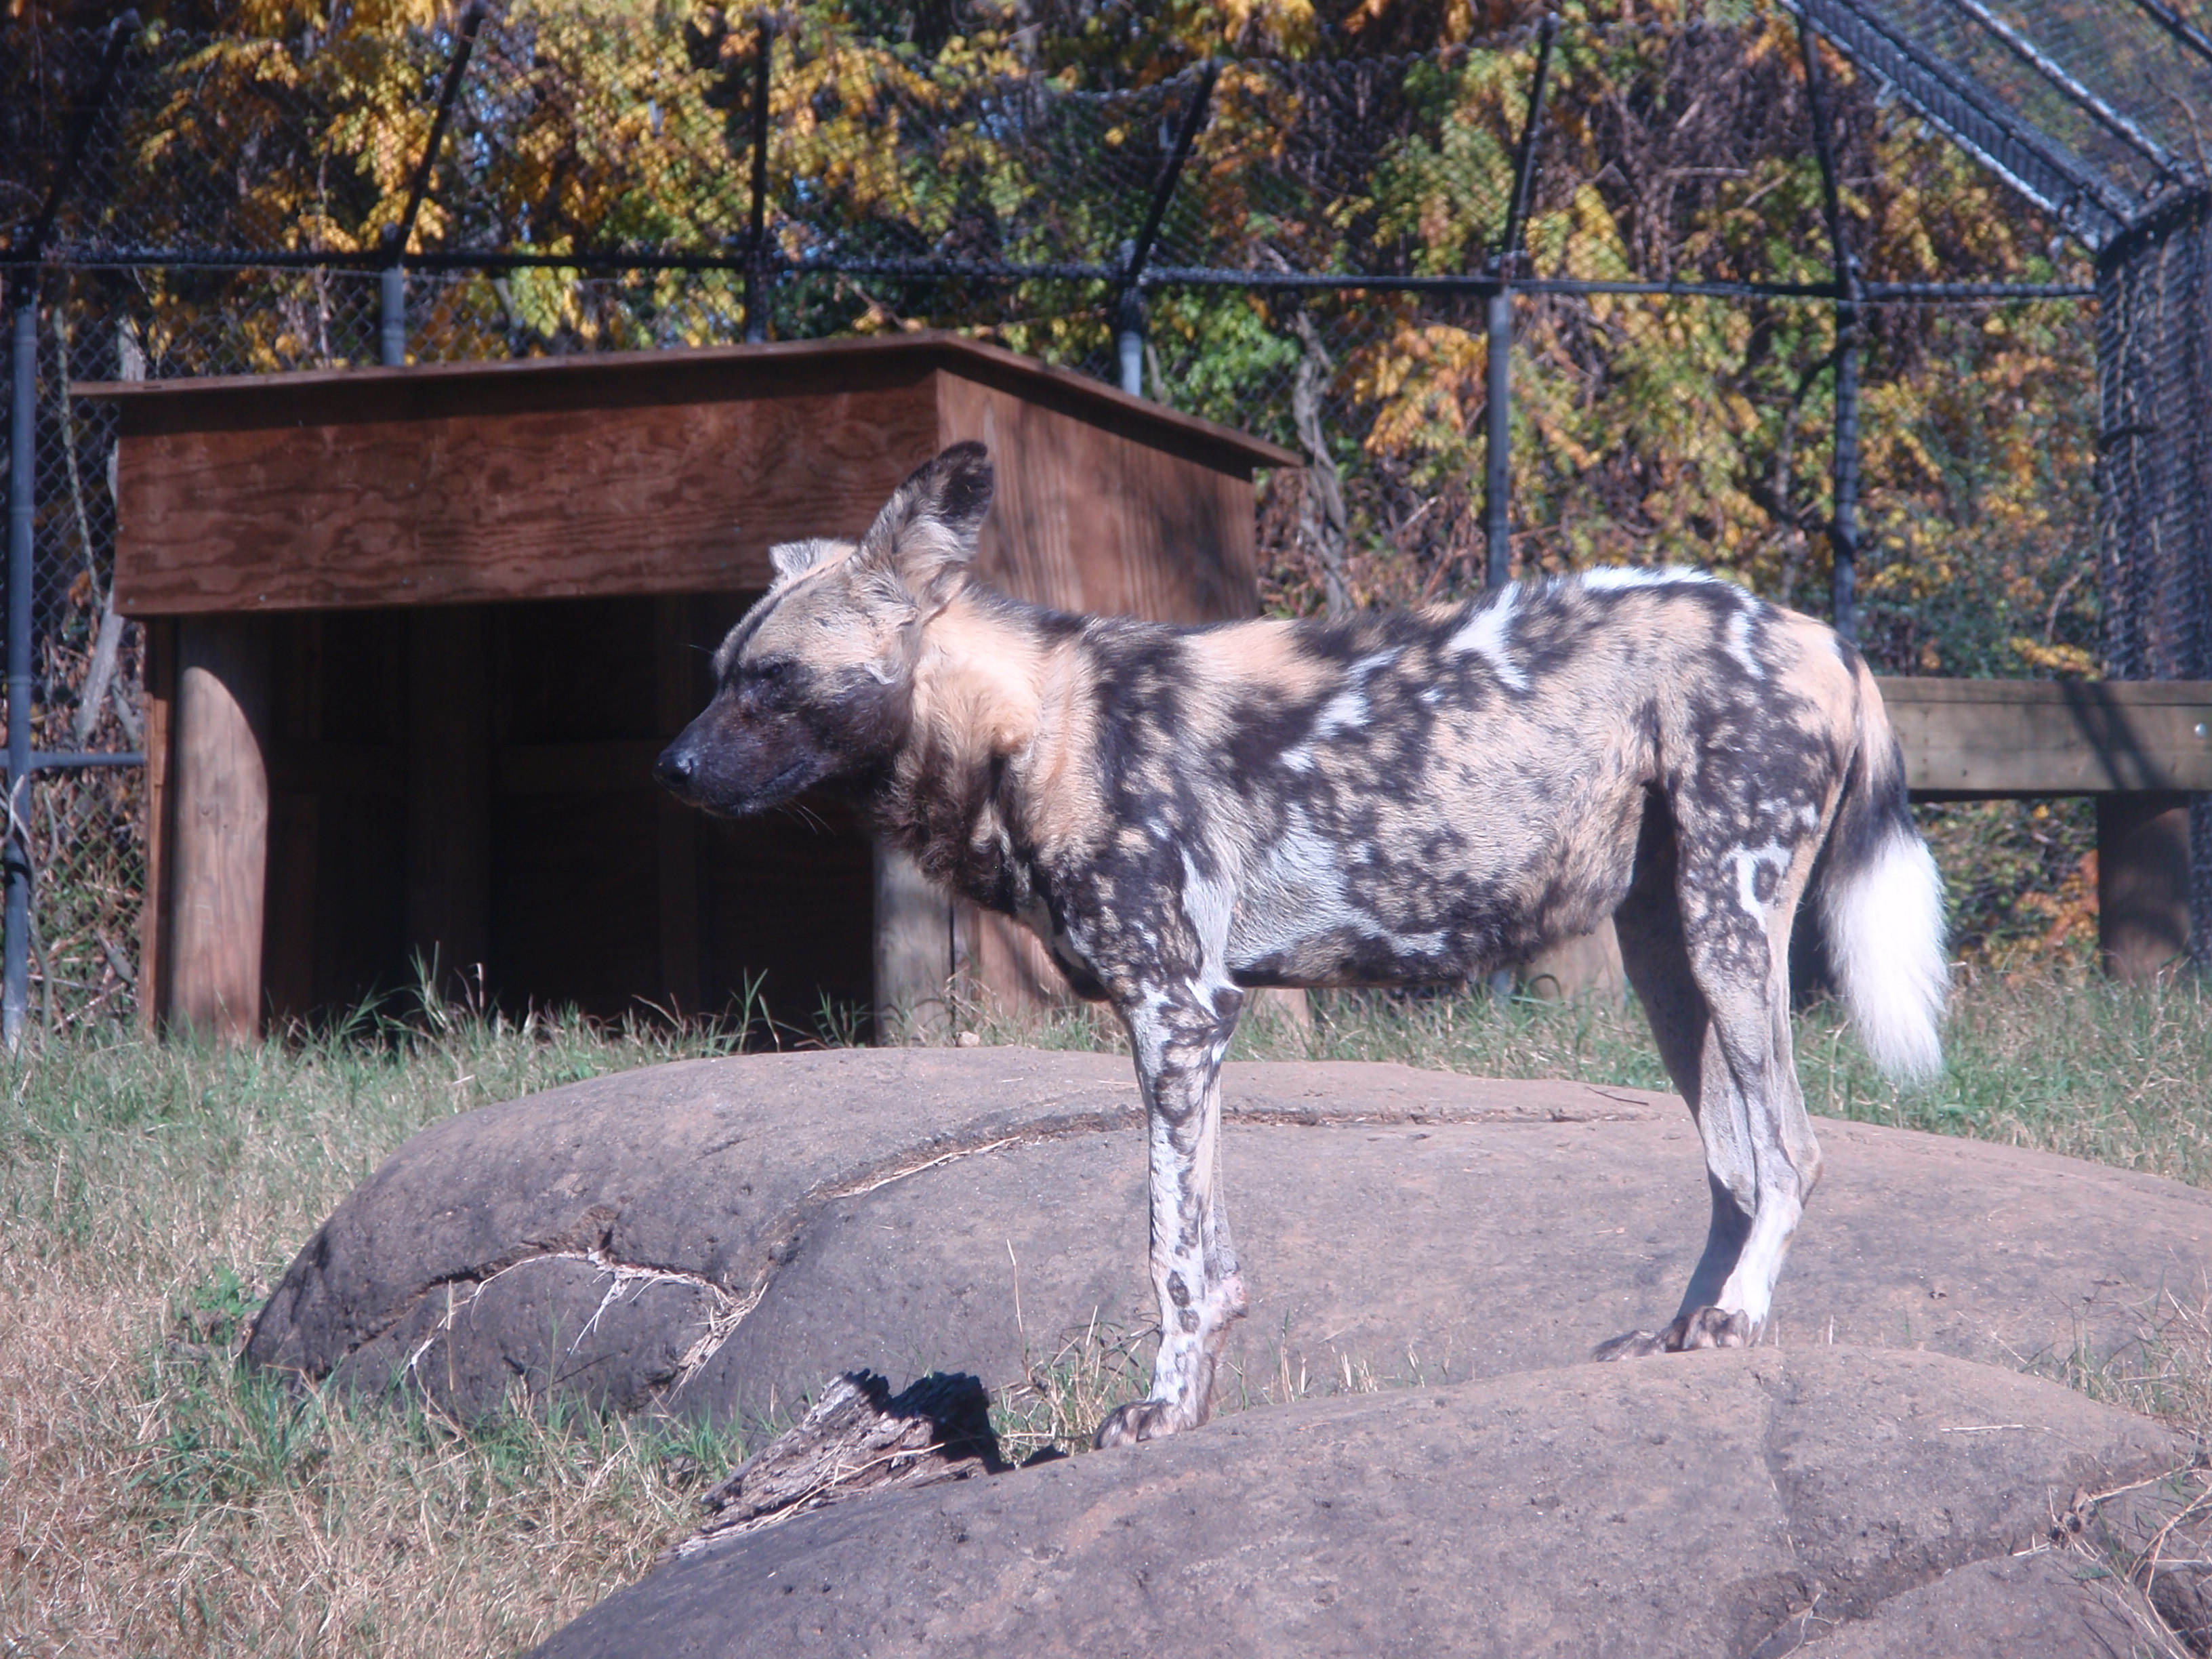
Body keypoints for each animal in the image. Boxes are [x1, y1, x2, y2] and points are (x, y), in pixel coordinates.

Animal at [659, 449, 1955, 1451]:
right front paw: (1194, 1403)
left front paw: (1164, 1411)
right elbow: (1210, 1252)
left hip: (1728, 926)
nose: (667, 768)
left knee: (1791, 1153)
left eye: (771, 679)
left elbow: (1173, 1254)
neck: (1031, 727)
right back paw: (1684, 1334)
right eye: (718, 674)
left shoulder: (1178, 1011)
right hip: (1667, 957)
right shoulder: (1187, 1021)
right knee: (1732, 1167)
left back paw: (1737, 1319)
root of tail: (1820, 631)